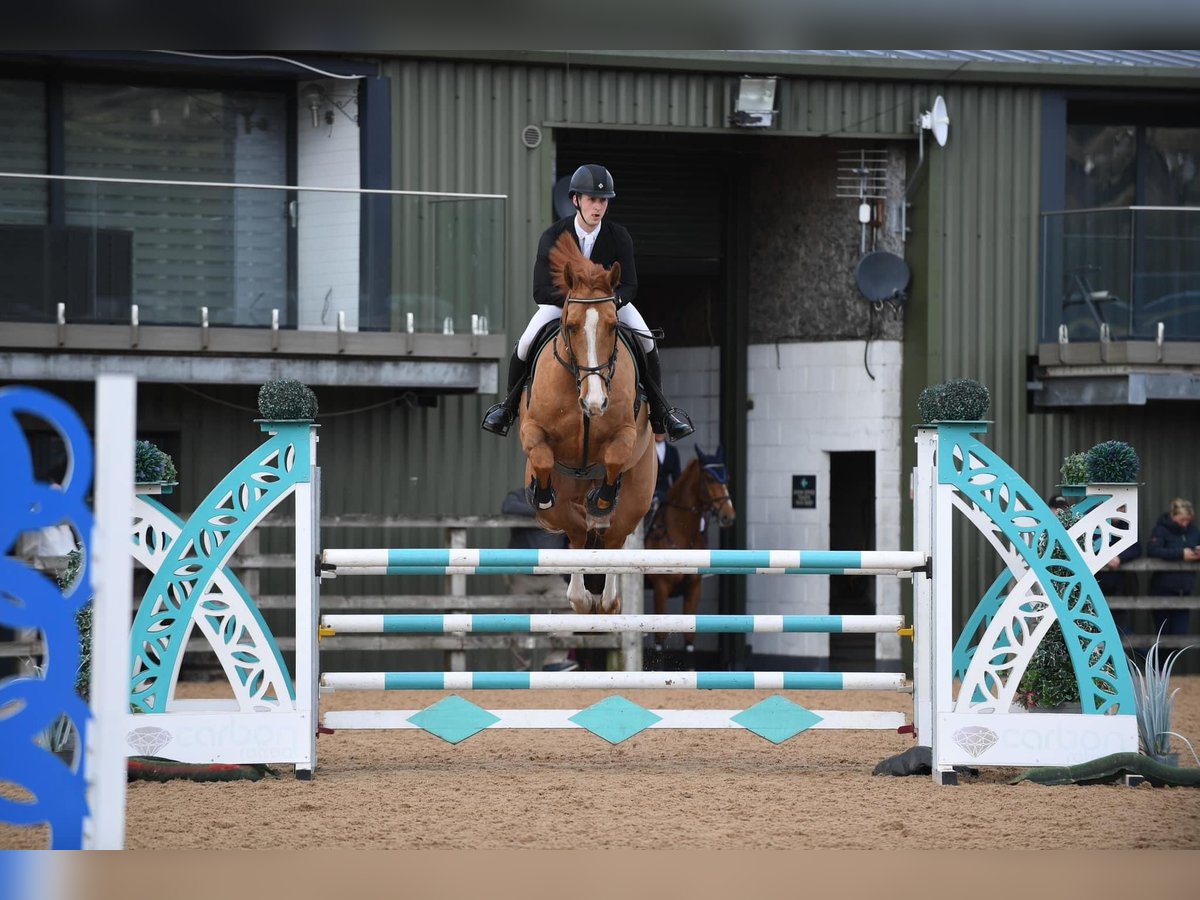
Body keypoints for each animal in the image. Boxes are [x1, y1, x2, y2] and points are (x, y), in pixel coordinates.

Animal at [520, 229, 657, 619]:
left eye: (613, 326)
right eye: (570, 326)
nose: (594, 403)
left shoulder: (626, 433)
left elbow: (615, 455)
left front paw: (603, 498)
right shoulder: (532, 430)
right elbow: (542, 454)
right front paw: (542, 491)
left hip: (636, 499)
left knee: (611, 540)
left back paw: (604, 598)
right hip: (565, 509)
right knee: (578, 535)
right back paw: (582, 597)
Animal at [643, 448, 734, 652]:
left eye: (727, 477)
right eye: (709, 478)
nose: (728, 516)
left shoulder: (694, 589)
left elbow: (690, 639)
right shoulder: (661, 589)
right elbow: (660, 639)